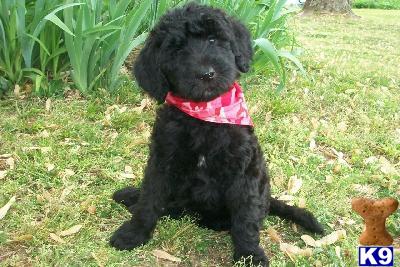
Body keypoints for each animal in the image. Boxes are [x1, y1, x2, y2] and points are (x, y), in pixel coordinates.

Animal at [111, 3, 324, 266]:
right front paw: (133, 233)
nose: (206, 74)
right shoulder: (162, 160)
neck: (206, 116)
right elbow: (149, 199)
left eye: (213, 39)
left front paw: (250, 254)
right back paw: (133, 195)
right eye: (177, 50)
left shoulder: (244, 172)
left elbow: (245, 218)